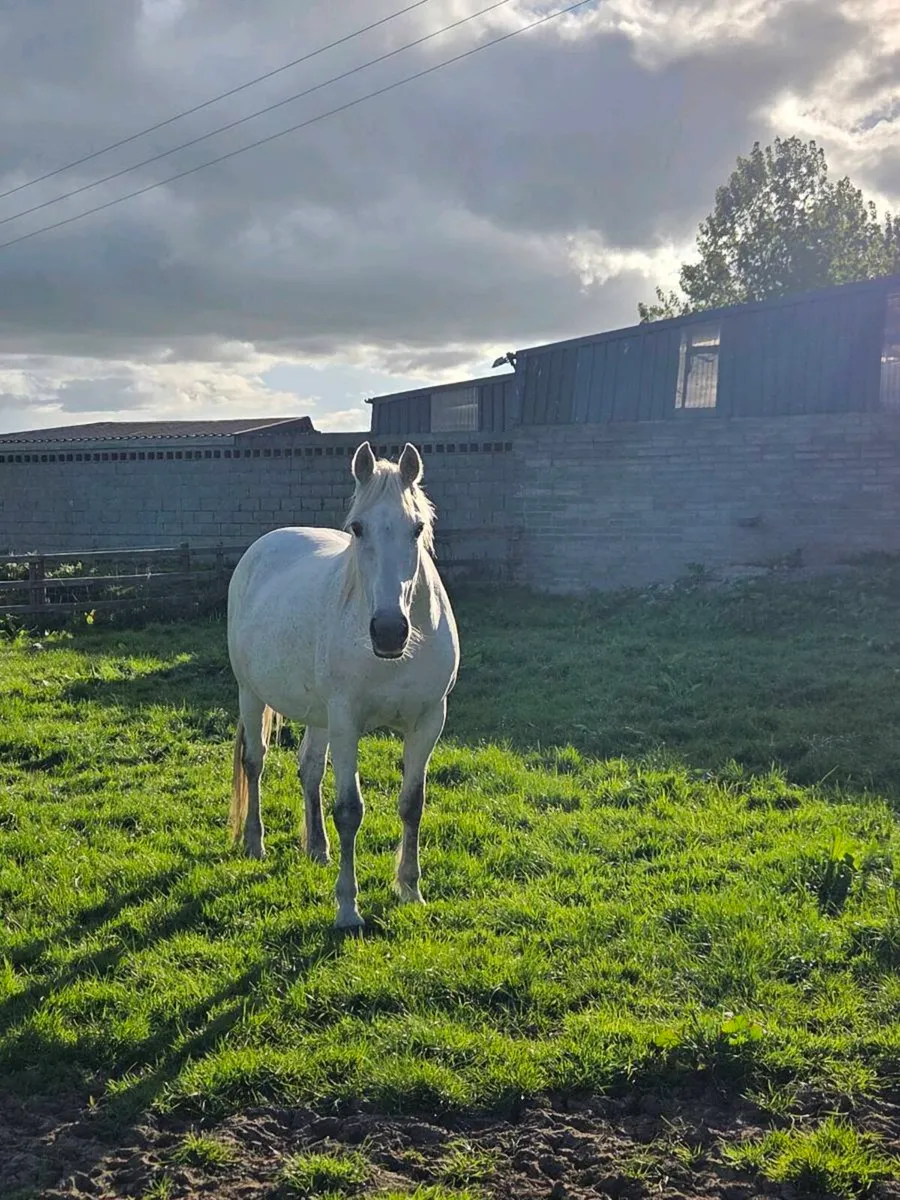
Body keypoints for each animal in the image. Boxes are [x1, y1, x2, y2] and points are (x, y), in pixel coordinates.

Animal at [226, 440, 460, 930]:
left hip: (319, 716)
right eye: (358, 528)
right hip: (251, 695)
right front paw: (349, 908)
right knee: (255, 762)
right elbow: (350, 810)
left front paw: (410, 889)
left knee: (310, 768)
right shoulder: (348, 723)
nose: (389, 631)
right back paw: (255, 843)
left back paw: (317, 848)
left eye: (417, 527)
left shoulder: (429, 722)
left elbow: (412, 803)